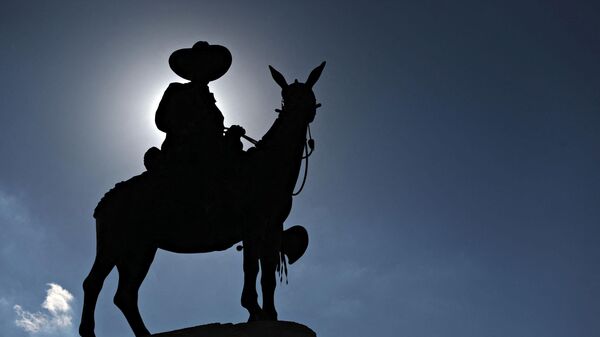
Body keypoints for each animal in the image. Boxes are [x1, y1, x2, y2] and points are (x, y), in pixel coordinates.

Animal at [79, 61, 326, 336]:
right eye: (285, 97)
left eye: (309, 96)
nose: (299, 114)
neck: (267, 165)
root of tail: (104, 203)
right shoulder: (252, 225)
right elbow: (251, 266)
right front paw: (254, 310)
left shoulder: (272, 227)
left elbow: (268, 274)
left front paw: (270, 315)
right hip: (114, 245)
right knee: (94, 283)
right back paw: (88, 332)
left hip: (140, 250)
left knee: (125, 294)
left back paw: (144, 334)